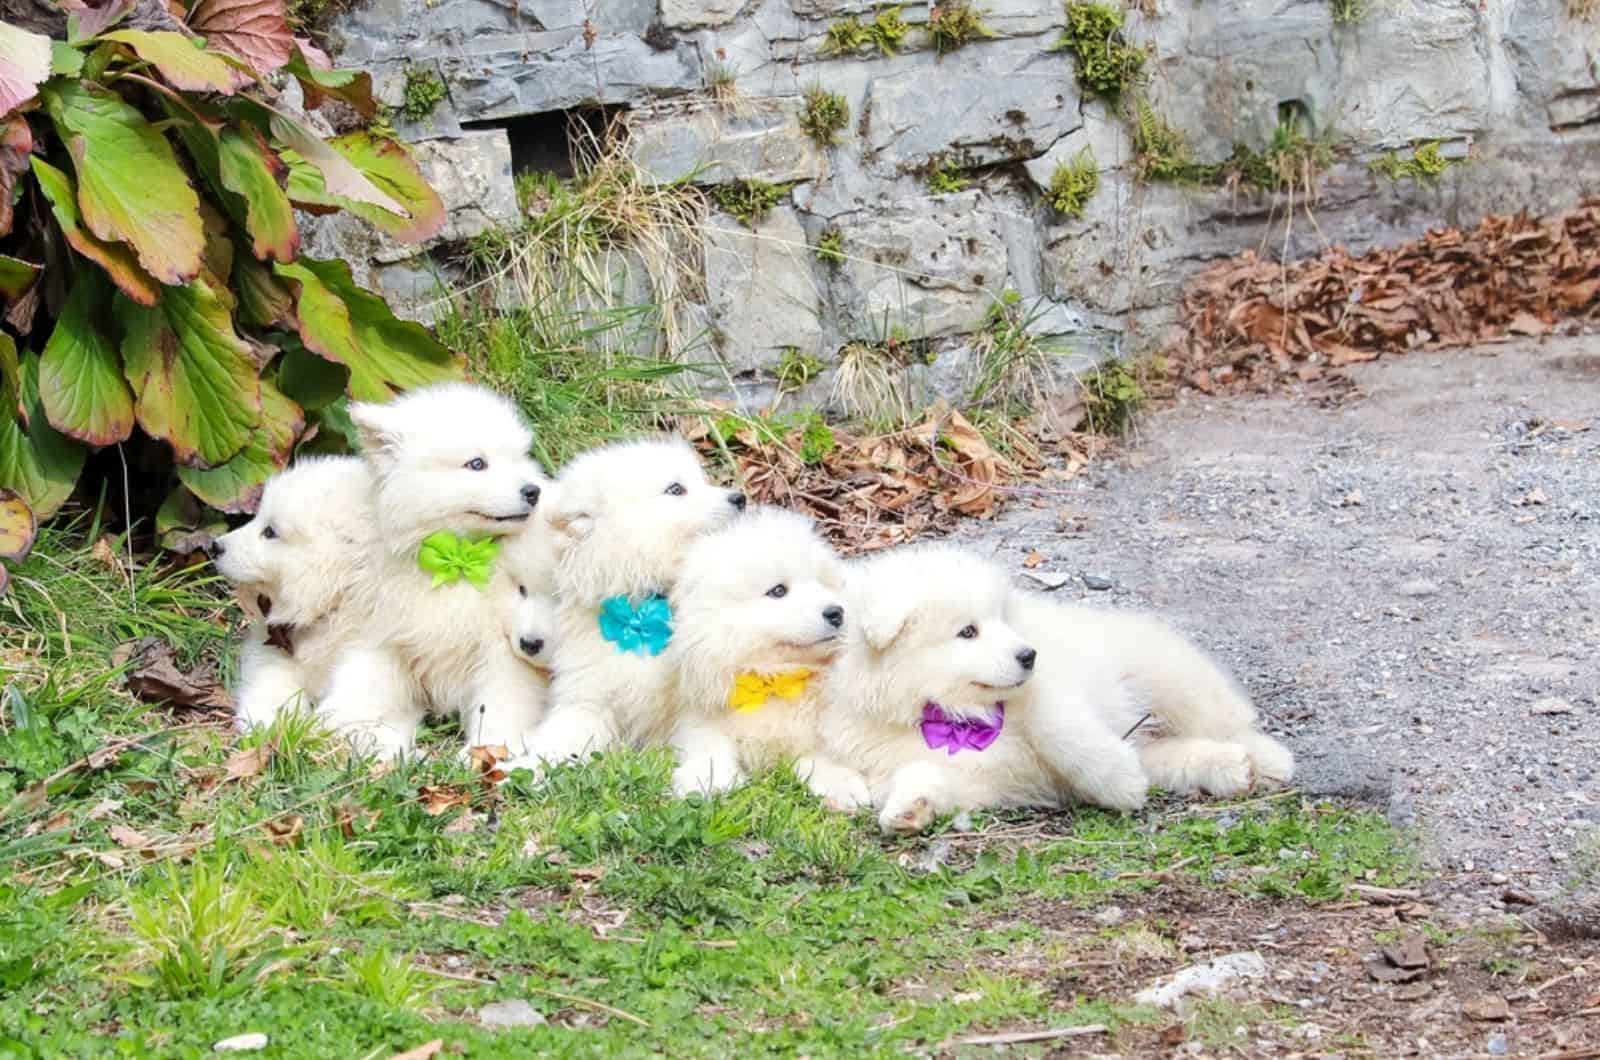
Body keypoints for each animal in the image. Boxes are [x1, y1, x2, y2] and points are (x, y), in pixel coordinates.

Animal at [212, 457, 377, 730]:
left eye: (270, 532)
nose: (215, 546)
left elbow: (359, 691)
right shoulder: (270, 645)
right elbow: (270, 680)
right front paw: (268, 721)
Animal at [316, 385, 556, 758]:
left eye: (520, 457)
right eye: (477, 464)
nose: (533, 491)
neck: (455, 561)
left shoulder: (502, 653)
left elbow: (500, 704)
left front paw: (486, 751)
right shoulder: (388, 636)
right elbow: (362, 680)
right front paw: (332, 721)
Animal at [502, 435, 745, 778]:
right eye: (676, 489)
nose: (740, 497)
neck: (639, 612)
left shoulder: (698, 703)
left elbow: (708, 743)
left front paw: (705, 778)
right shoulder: (588, 696)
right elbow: (559, 737)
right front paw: (523, 768)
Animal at [672, 509, 883, 813]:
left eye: (823, 583)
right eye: (778, 591)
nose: (837, 612)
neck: (774, 678)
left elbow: (822, 754)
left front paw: (843, 787)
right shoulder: (697, 714)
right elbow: (708, 745)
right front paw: (707, 781)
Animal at [819, 547, 1292, 839]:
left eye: (1003, 619)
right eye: (968, 631)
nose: (1028, 655)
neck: (947, 712)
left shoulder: (1047, 692)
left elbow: (1060, 729)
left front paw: (1118, 780)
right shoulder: (962, 771)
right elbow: (922, 774)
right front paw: (907, 810)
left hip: (1163, 671)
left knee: (1223, 717)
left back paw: (1268, 761)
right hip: (1154, 732)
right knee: (1172, 754)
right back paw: (1232, 768)